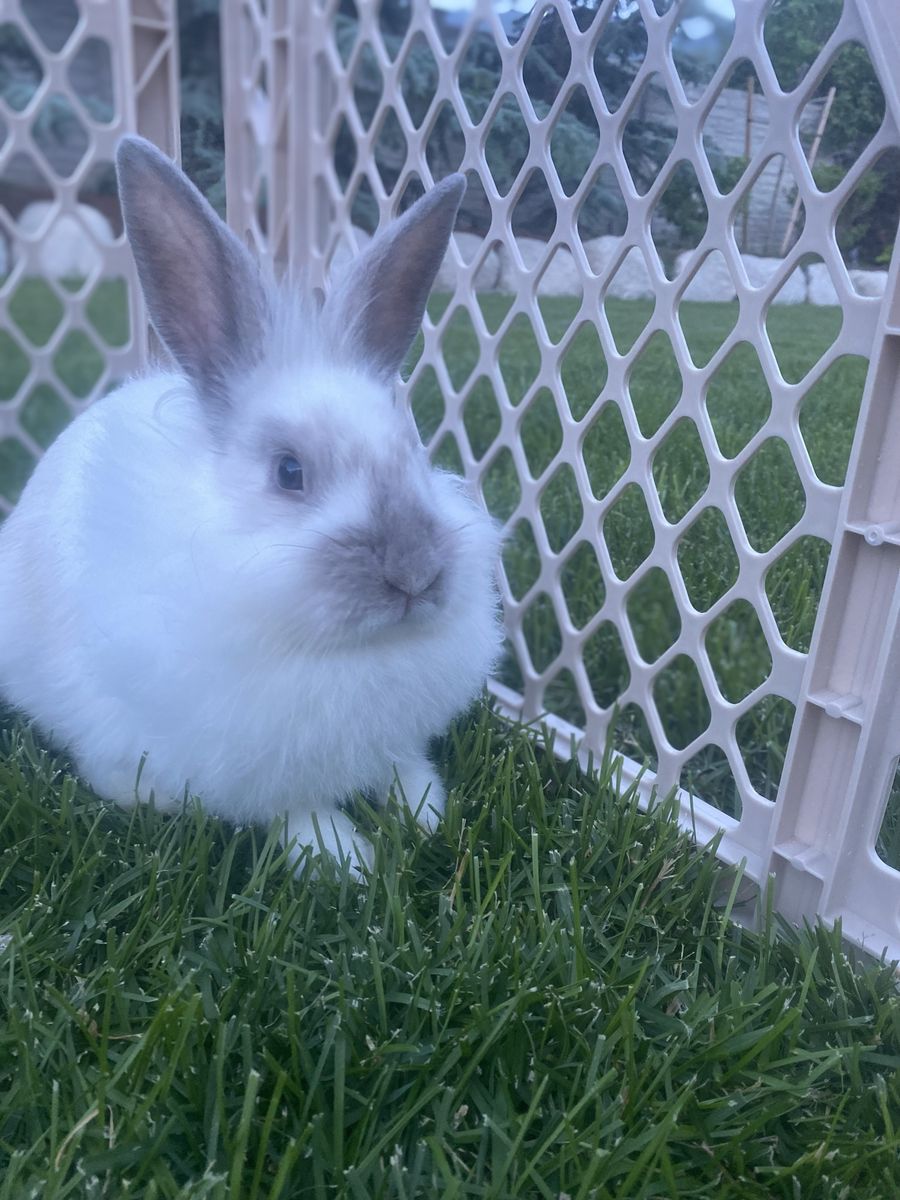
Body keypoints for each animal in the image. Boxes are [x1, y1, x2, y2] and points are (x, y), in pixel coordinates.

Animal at [0, 136, 504, 875]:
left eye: (412, 447)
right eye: (289, 472)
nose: (414, 574)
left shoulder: (393, 737)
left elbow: (403, 764)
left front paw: (428, 815)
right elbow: (291, 807)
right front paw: (344, 862)